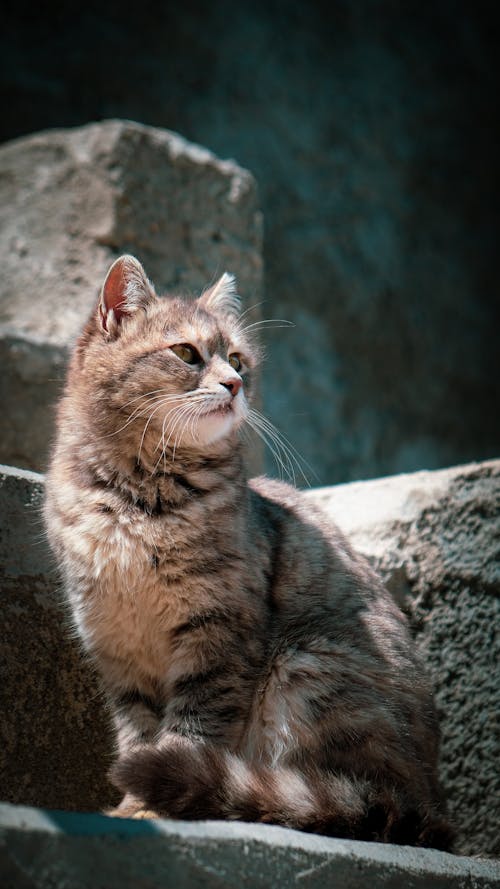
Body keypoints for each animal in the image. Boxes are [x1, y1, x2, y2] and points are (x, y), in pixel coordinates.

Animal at [45, 251, 452, 848]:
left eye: (237, 359)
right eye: (186, 353)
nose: (235, 384)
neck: (138, 500)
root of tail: (432, 806)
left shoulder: (219, 635)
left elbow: (189, 730)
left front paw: (156, 798)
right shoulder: (116, 648)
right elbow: (138, 732)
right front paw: (132, 803)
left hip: (306, 666)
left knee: (336, 796)